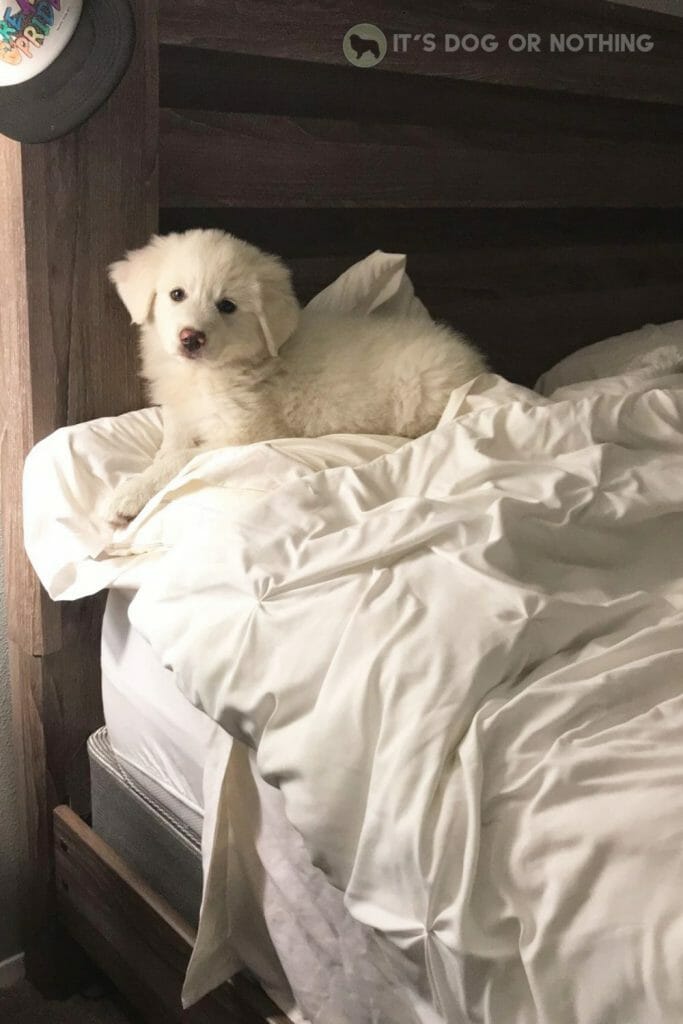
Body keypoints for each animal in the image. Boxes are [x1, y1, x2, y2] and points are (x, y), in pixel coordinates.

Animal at [107, 230, 485, 520]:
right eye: (177, 294)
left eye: (227, 306)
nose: (191, 338)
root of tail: (476, 364)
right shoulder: (180, 414)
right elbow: (171, 445)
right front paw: (147, 471)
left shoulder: (244, 434)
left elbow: (182, 460)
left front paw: (130, 493)